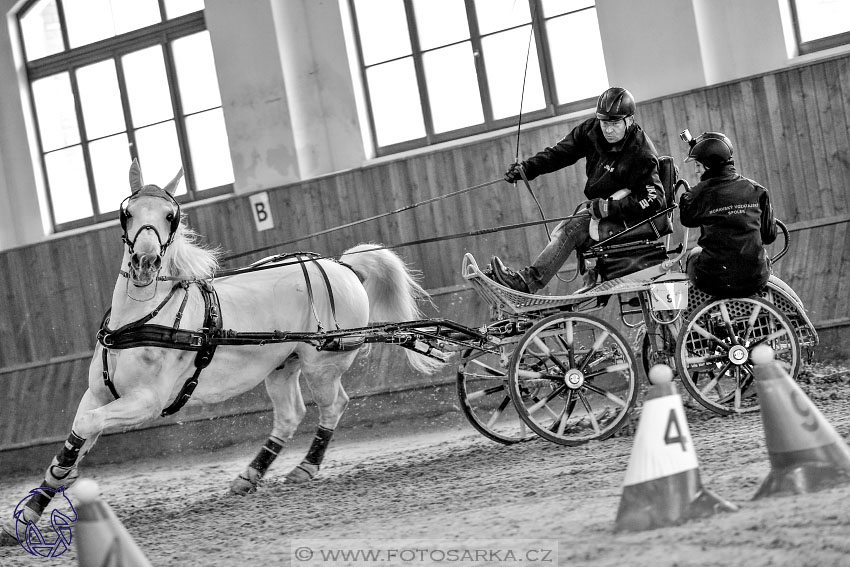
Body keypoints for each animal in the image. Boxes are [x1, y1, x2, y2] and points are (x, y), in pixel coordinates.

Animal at [4, 160, 444, 544]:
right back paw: (249, 476)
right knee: (289, 415)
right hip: (282, 365)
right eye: (127, 212)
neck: (141, 318)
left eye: (171, 216)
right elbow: (79, 435)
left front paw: (46, 495)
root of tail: (341, 265)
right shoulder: (98, 393)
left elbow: (86, 428)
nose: (145, 262)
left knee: (333, 405)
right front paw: (29, 513)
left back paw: (305, 468)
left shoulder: (146, 401)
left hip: (322, 363)